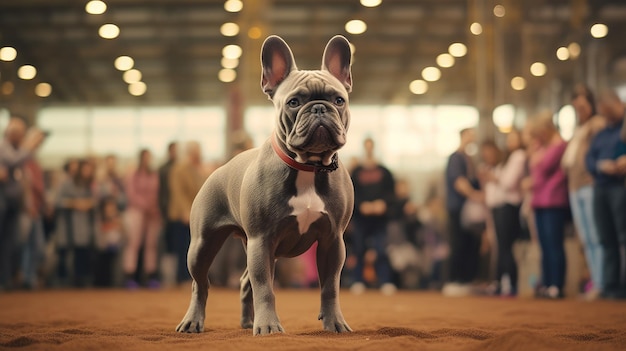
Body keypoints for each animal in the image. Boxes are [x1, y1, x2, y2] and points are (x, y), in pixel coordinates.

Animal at [176, 35, 354, 336]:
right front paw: (269, 326)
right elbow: (265, 289)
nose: (319, 108)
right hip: (202, 246)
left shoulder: (332, 241)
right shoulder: (262, 240)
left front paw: (335, 323)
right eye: (294, 102)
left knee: (245, 281)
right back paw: (193, 321)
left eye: (339, 100)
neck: (308, 167)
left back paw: (249, 322)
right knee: (200, 284)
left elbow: (330, 287)